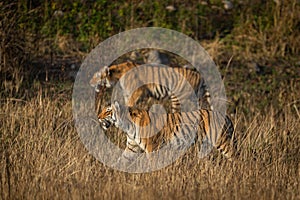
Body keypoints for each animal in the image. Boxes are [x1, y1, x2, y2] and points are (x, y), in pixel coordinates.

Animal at [98, 101, 237, 162]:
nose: (98, 117)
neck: (127, 126)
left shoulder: (151, 147)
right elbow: (122, 159)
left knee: (234, 156)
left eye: (108, 111)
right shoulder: (132, 147)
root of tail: (226, 116)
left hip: (221, 141)